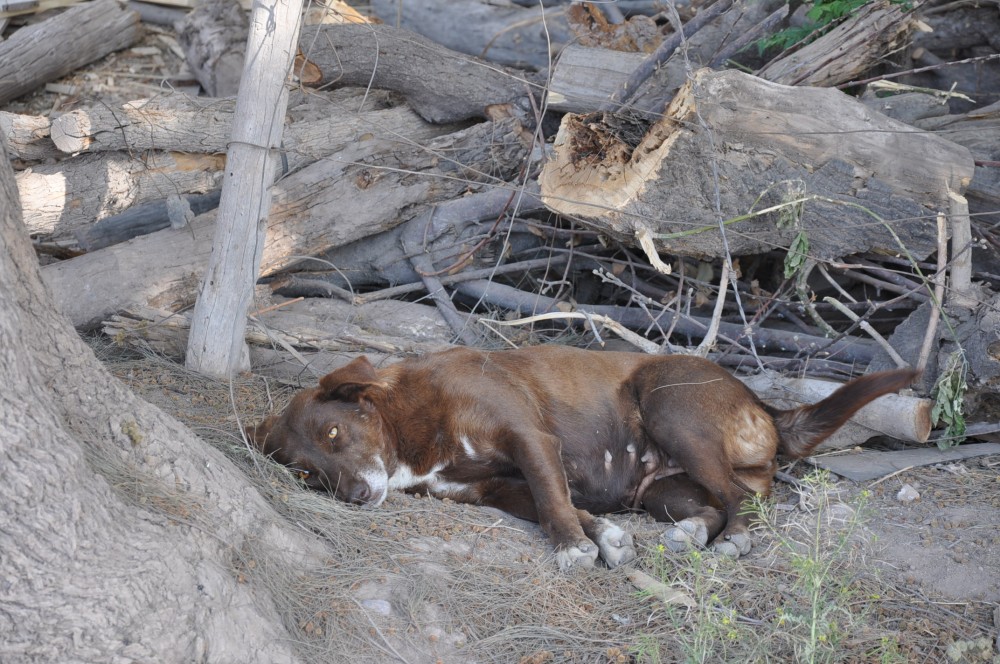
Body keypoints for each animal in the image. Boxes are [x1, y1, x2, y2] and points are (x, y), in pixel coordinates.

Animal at [246, 344, 916, 568]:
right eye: (307, 473)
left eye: (335, 435)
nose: (358, 497)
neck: (408, 424)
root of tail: (762, 405)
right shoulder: (491, 489)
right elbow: (554, 504)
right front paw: (600, 537)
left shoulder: (530, 441)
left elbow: (551, 499)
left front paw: (571, 548)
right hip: (662, 488)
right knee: (717, 500)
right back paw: (691, 534)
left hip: (671, 406)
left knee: (739, 500)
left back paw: (730, 540)